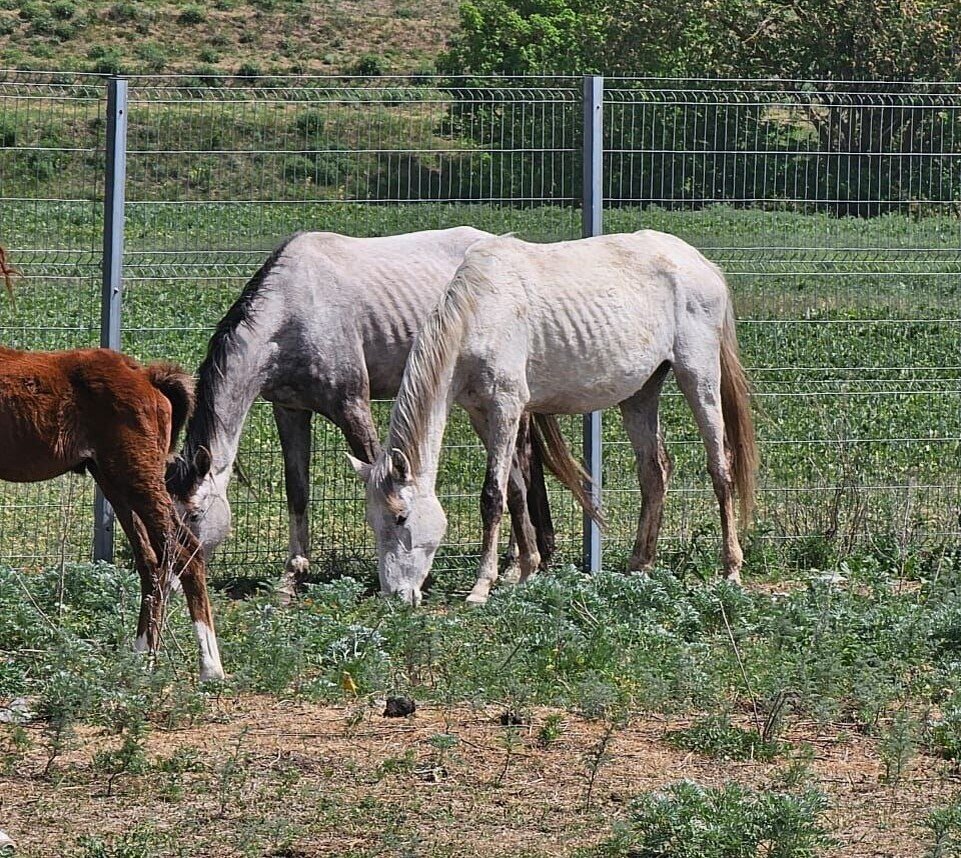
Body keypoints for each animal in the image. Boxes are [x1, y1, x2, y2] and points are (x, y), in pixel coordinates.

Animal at [352, 227, 756, 600]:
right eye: (373, 520)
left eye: (401, 517)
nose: (395, 595)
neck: (480, 311)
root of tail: (699, 261)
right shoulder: (481, 414)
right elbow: (516, 489)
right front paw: (527, 569)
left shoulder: (506, 406)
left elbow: (492, 495)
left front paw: (482, 586)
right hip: (641, 393)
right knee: (654, 472)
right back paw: (639, 566)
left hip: (698, 374)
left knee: (720, 467)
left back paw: (731, 570)